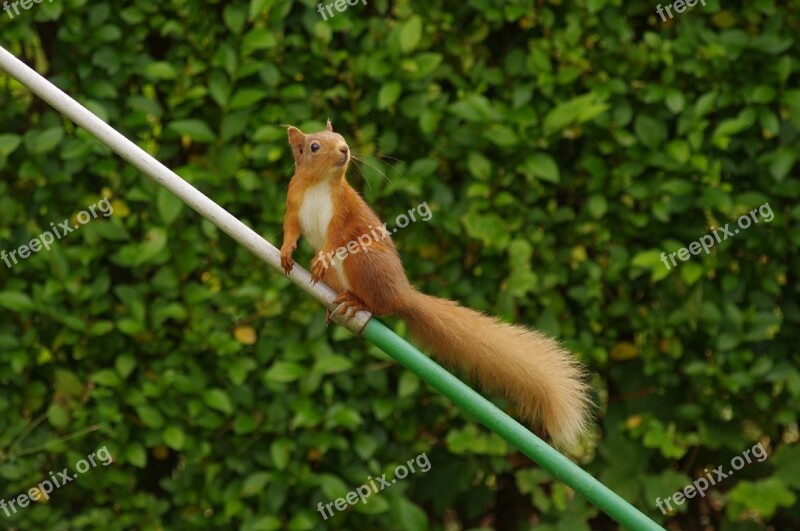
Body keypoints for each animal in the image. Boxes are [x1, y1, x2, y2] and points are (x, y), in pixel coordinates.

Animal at [278, 120, 592, 448]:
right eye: (314, 146)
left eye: (341, 137)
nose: (344, 150)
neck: (319, 185)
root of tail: (402, 293)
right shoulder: (294, 202)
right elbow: (291, 228)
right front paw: (286, 251)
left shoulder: (343, 214)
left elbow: (335, 238)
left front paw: (322, 257)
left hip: (363, 261)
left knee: (379, 304)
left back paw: (356, 301)